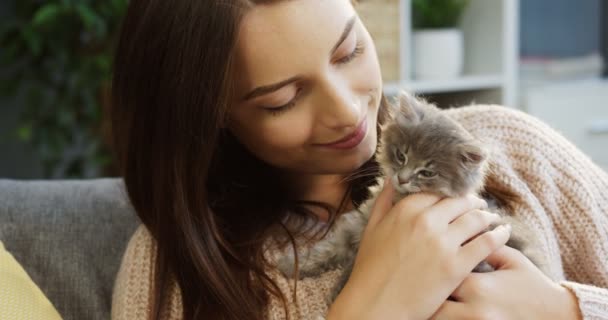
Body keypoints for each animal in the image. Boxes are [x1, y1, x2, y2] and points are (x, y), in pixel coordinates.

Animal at [276, 91, 548, 304]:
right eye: (401, 155)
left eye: (427, 172)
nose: (403, 178)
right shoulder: (359, 223)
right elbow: (329, 247)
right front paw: (291, 264)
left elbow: (356, 265)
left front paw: (338, 291)